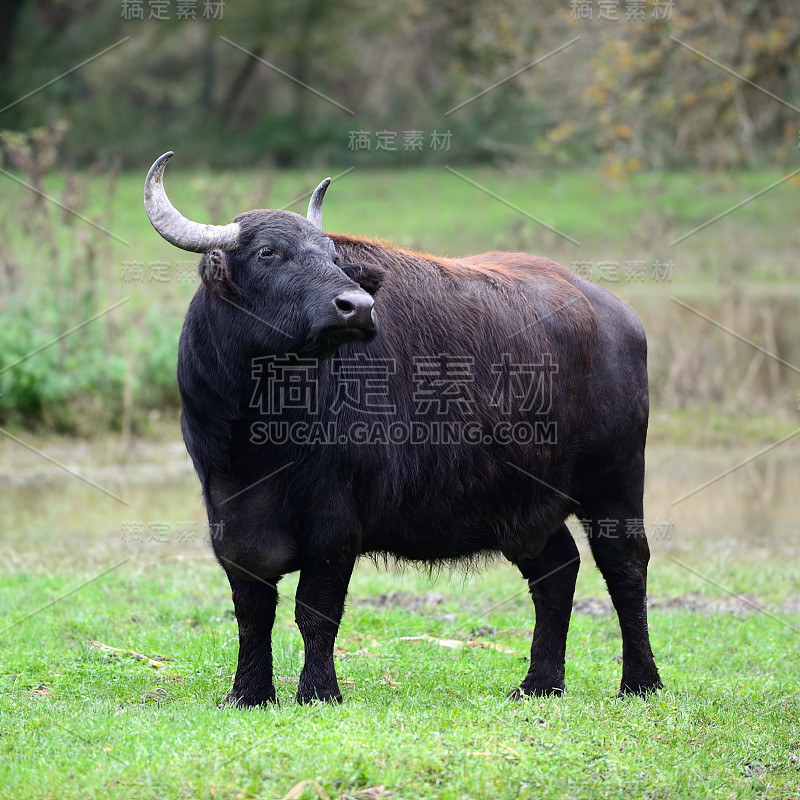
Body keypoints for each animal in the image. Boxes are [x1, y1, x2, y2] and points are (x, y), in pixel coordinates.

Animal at [144, 153, 664, 704]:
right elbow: (251, 613)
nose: (356, 307)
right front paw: (249, 693)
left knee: (626, 565)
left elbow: (316, 611)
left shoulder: (336, 522)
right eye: (268, 253)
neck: (258, 434)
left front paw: (319, 691)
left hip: (615, 480)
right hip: (525, 503)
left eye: (331, 255)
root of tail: (619, 317)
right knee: (557, 571)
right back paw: (540, 683)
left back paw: (640, 681)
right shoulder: (229, 517)